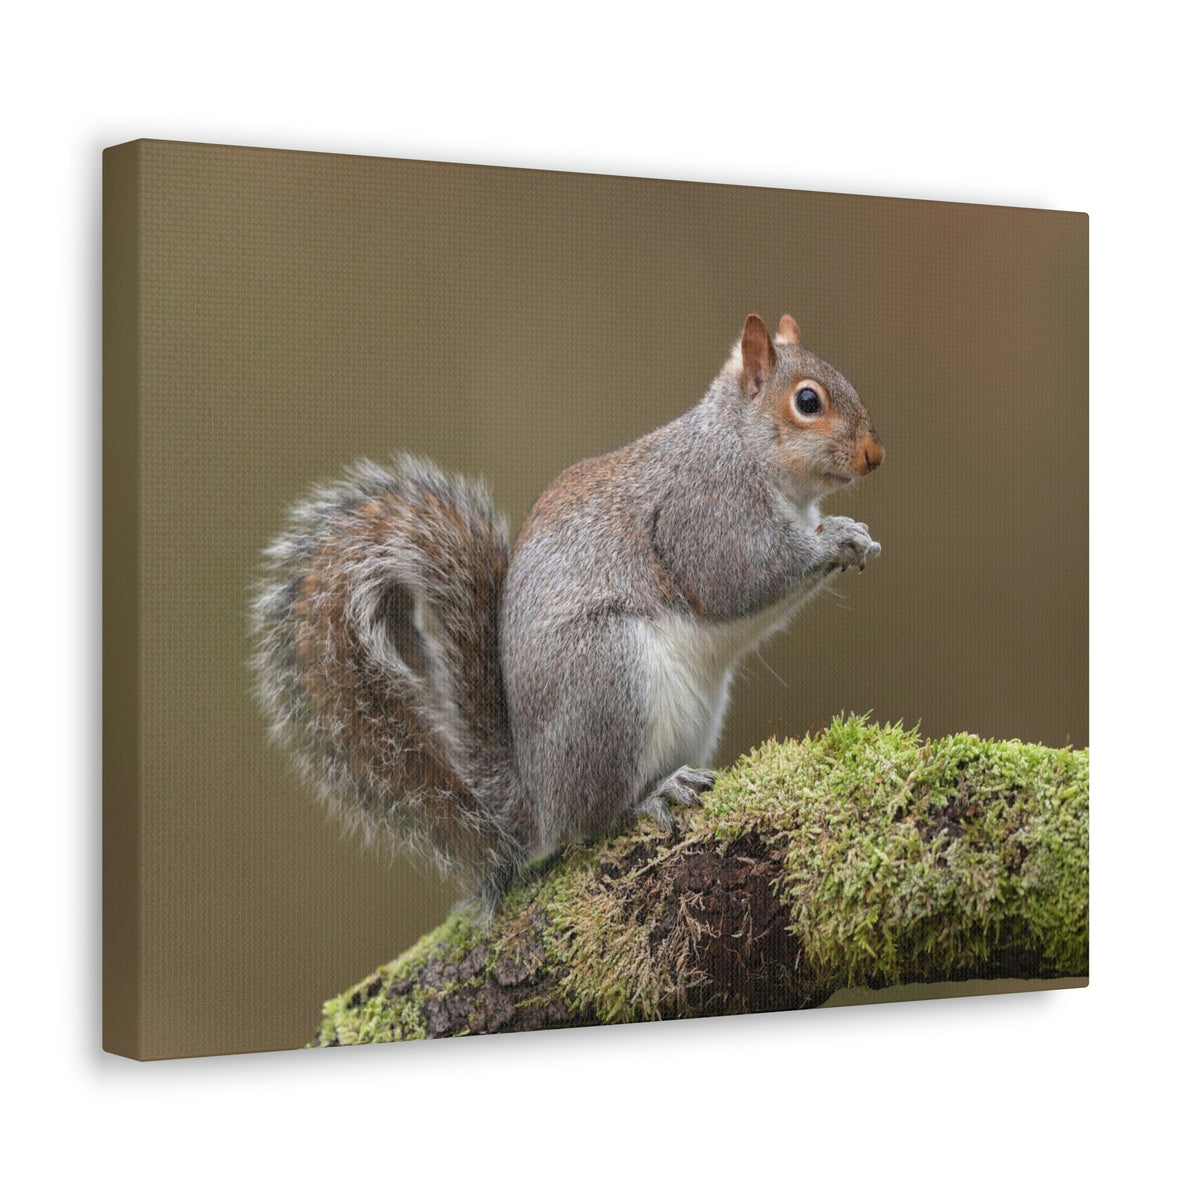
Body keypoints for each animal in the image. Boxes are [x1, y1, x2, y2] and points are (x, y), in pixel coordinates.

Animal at [251, 313, 884, 908]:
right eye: (808, 402)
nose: (875, 456)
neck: (743, 446)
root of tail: (537, 798)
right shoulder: (703, 509)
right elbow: (737, 578)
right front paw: (834, 539)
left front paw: (854, 535)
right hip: (607, 678)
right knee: (595, 817)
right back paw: (651, 795)